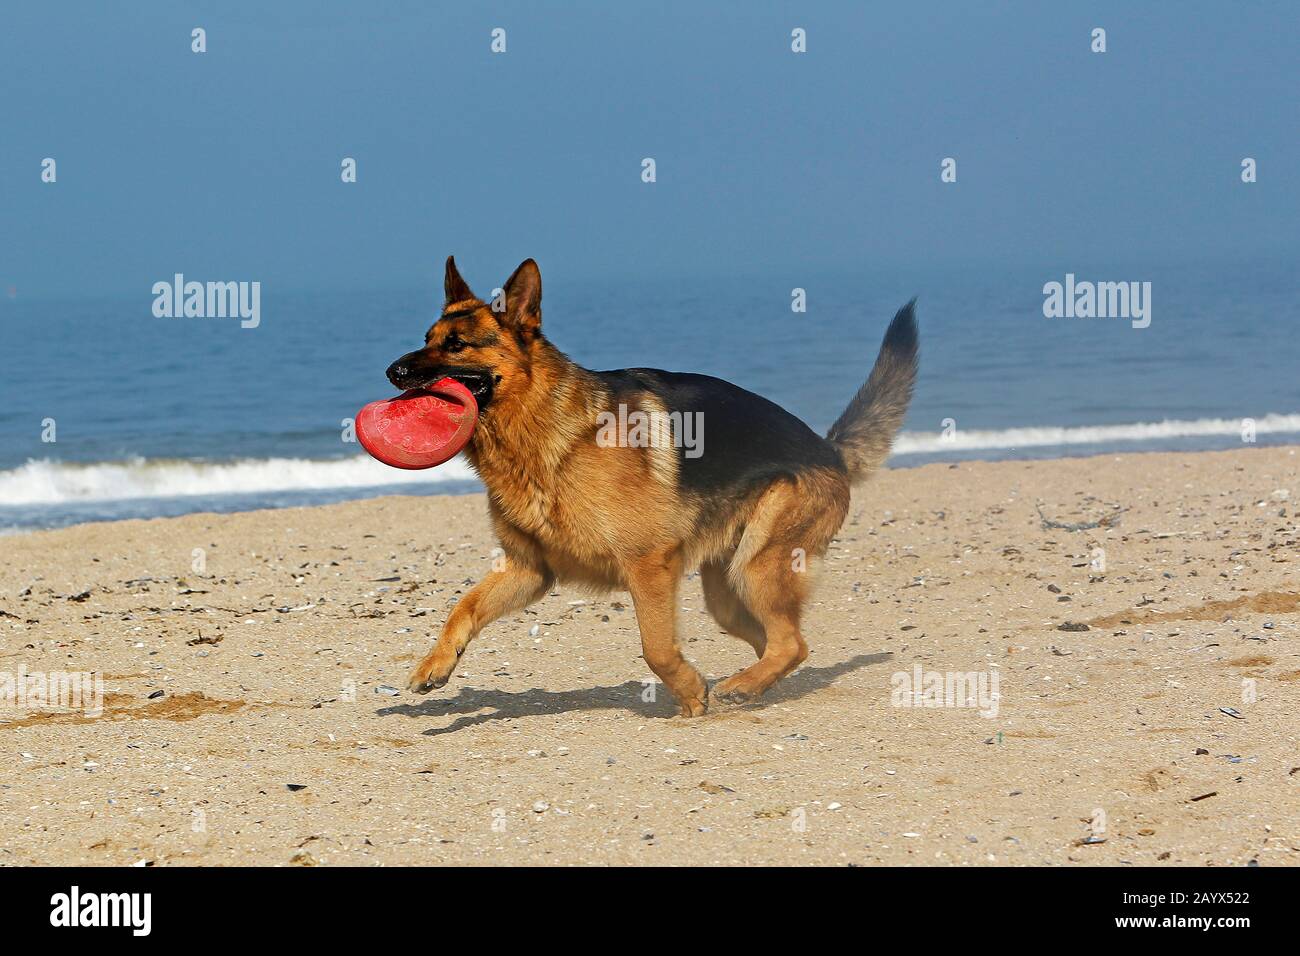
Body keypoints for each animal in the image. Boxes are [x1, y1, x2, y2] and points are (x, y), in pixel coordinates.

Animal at [384, 257, 915, 712]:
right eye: (427, 338)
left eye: (457, 345)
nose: (393, 371)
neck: (545, 435)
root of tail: (827, 449)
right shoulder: (528, 571)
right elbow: (463, 608)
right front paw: (435, 664)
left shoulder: (648, 565)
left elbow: (656, 647)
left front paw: (690, 693)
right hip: (728, 592)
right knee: (780, 643)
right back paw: (753, 684)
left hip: (758, 567)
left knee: (791, 642)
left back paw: (740, 687)